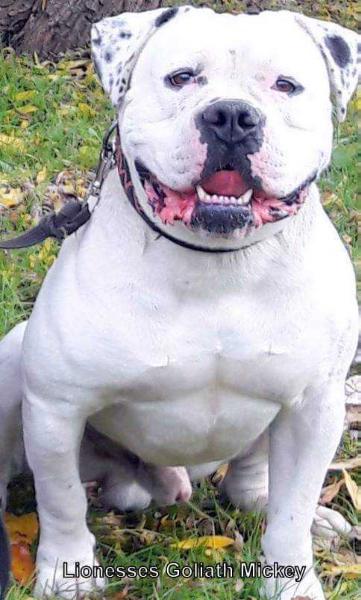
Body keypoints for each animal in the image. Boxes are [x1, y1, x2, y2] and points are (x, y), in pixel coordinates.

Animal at [0, 5, 358, 600]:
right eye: (181, 78)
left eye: (285, 85)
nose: (232, 116)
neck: (218, 263)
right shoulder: (56, 407)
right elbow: (60, 498)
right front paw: (67, 570)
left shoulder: (315, 408)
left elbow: (292, 513)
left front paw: (292, 581)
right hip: (13, 357)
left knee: (254, 482)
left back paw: (286, 508)